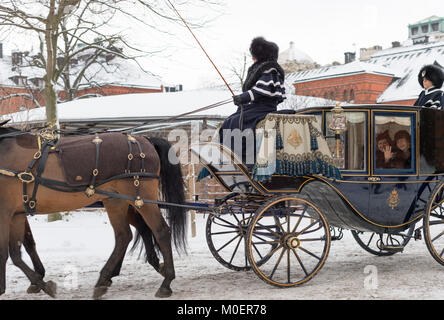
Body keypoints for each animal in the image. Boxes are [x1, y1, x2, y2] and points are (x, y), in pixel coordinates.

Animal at [0, 128, 186, 300]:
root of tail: (145, 139)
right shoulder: (16, 214)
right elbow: (17, 252)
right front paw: (38, 282)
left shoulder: (6, 213)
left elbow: (7, 253)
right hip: (116, 201)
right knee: (124, 235)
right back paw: (104, 280)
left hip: (140, 199)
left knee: (160, 231)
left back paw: (165, 283)